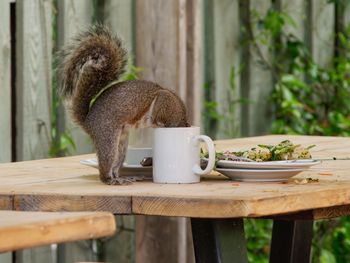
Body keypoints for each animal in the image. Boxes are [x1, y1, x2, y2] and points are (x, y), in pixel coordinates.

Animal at [58, 24, 189, 186]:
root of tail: (88, 122)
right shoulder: (163, 101)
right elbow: (157, 116)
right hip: (108, 137)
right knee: (106, 165)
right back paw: (110, 180)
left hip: (121, 144)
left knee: (115, 165)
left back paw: (122, 177)